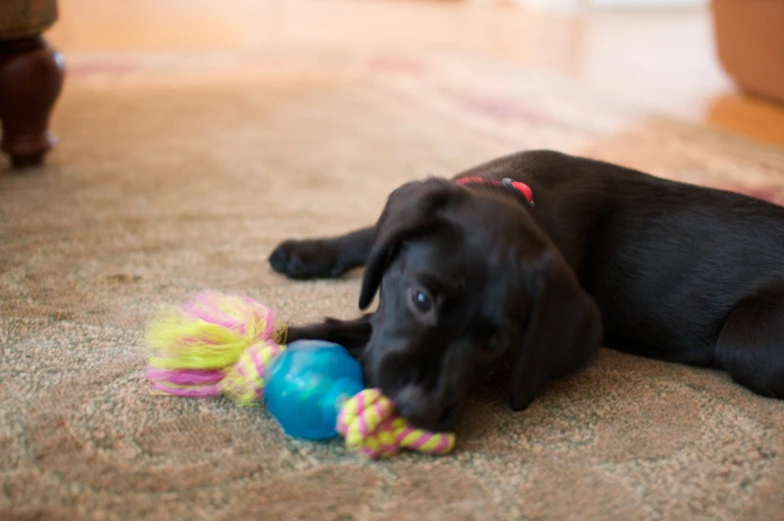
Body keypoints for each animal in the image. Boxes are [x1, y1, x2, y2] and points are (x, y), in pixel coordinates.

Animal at [268, 148, 784, 428]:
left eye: (495, 343)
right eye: (420, 300)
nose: (419, 411)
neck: (516, 190)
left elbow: (361, 325)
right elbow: (370, 238)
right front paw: (303, 255)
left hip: (745, 340)